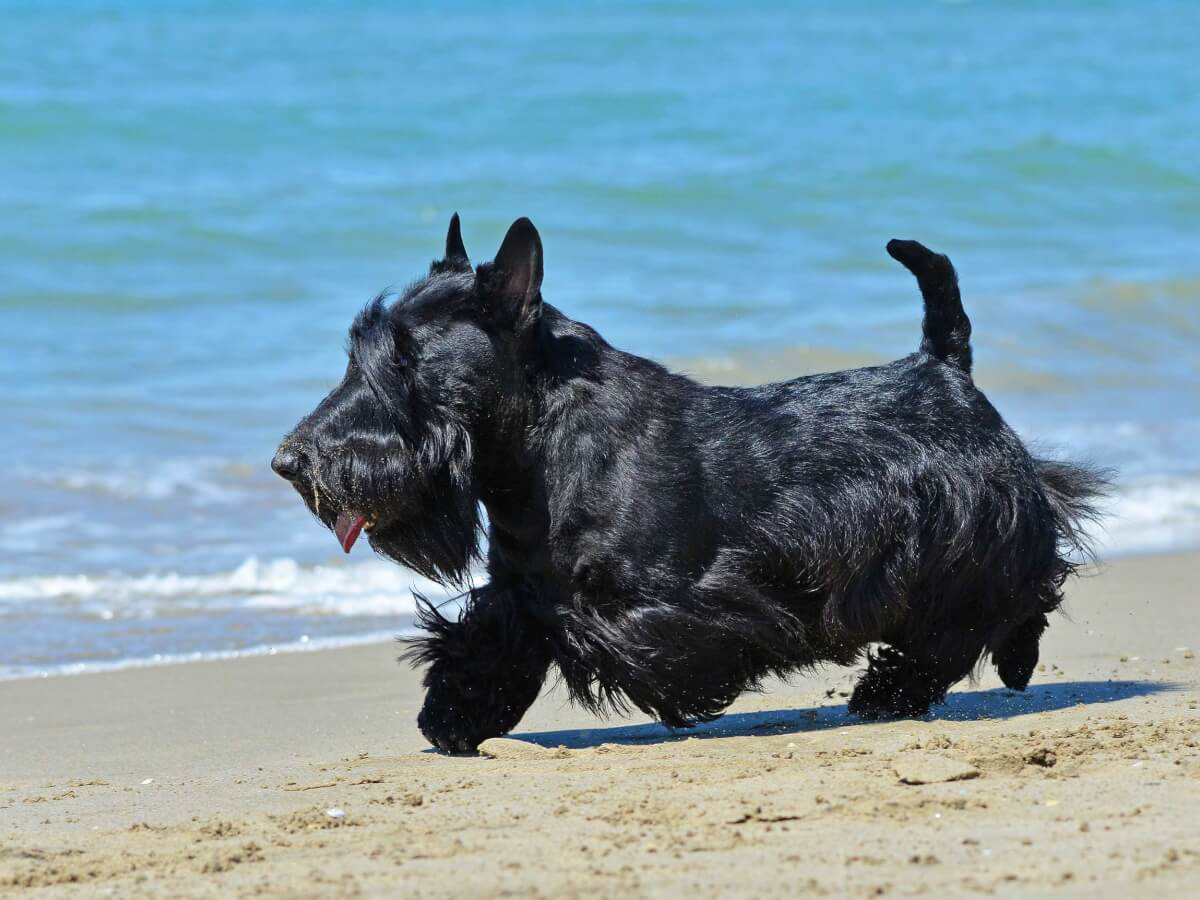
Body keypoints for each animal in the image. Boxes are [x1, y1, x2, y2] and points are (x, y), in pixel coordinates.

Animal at [272, 217, 1104, 753]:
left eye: (404, 359)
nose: (290, 461)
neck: (537, 446)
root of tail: (944, 368)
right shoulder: (525, 594)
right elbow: (489, 643)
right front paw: (452, 714)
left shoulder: (656, 602)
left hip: (973, 539)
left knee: (1008, 597)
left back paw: (915, 685)